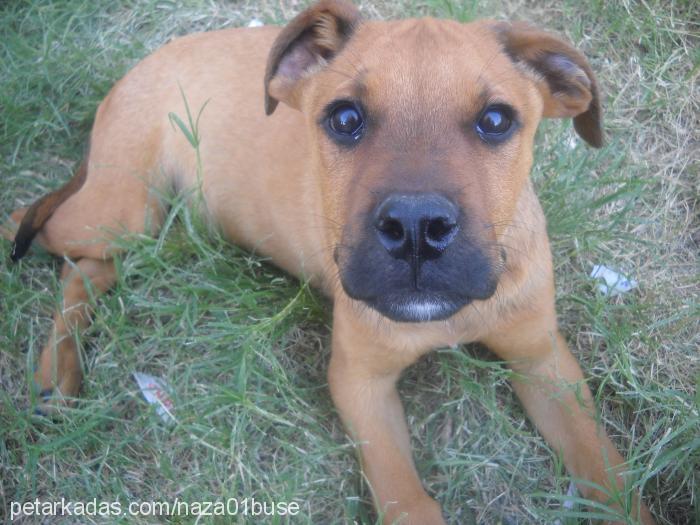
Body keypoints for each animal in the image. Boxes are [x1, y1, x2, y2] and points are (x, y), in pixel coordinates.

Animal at [5, 1, 652, 524]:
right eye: (345, 118)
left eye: (496, 121)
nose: (415, 229)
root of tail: (141, 66)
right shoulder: (359, 382)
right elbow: (408, 500)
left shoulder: (544, 360)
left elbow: (610, 474)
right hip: (125, 205)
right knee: (38, 227)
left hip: (156, 223)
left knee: (91, 266)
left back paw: (58, 376)